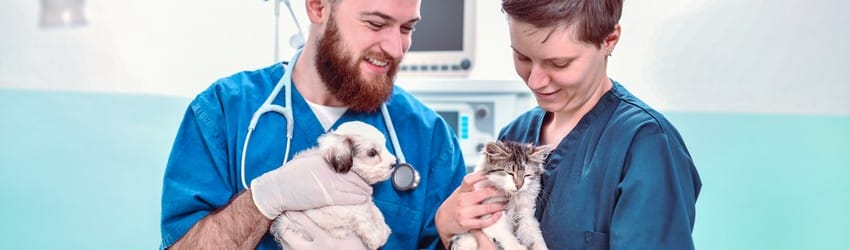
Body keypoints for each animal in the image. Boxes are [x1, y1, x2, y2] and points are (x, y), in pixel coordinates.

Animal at [270, 120, 396, 248]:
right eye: (372, 153)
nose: (394, 164)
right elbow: (363, 217)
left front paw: (384, 230)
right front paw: (375, 238)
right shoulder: (348, 206)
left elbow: (375, 211)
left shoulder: (364, 200)